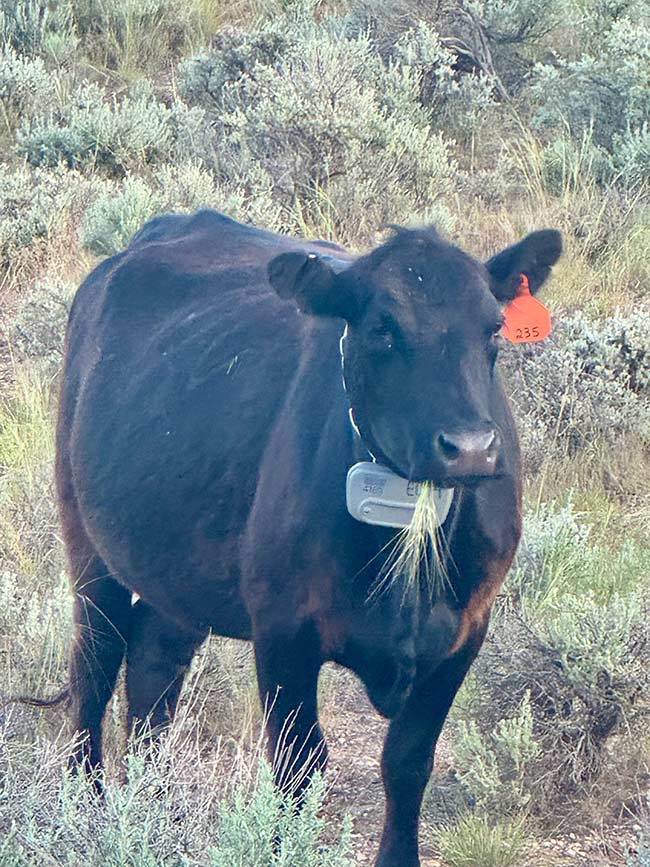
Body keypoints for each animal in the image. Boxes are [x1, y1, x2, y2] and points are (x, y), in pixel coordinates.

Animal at [53, 210, 561, 866]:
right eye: (381, 329)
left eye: (493, 329)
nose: (470, 447)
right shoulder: (283, 629)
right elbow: (298, 767)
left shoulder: (466, 631)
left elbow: (407, 762)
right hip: (88, 541)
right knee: (95, 663)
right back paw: (84, 808)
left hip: (180, 566)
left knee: (152, 660)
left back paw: (151, 805)